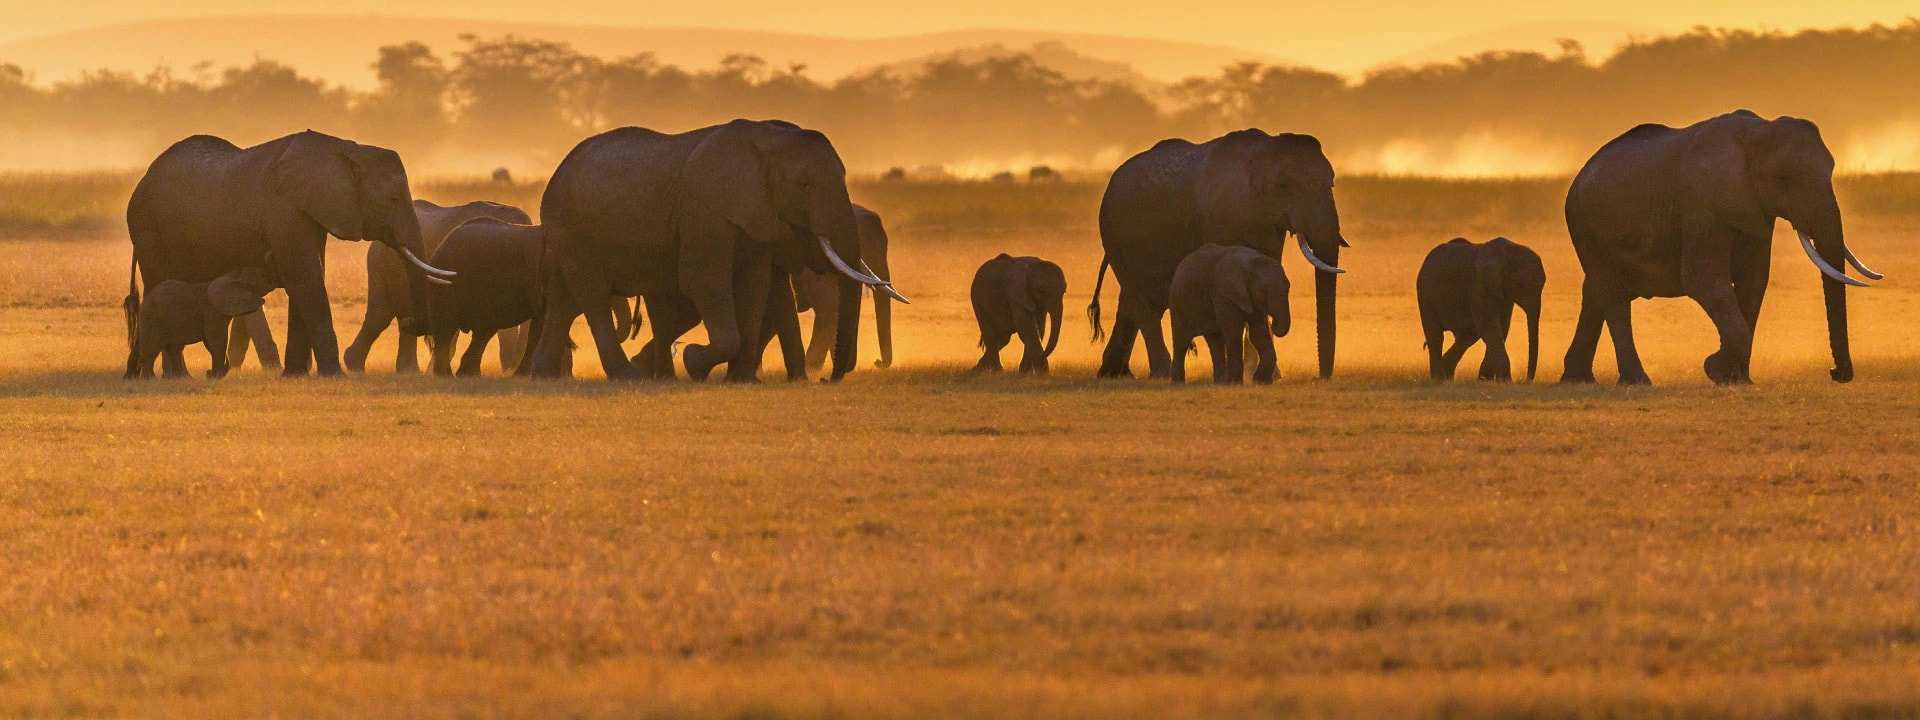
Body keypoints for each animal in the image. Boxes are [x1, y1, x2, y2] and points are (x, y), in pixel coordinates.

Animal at [123, 268, 277, 379]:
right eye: (257, 280)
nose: (272, 276)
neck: (230, 276)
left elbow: (211, 342)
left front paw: (214, 374)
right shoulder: (211, 311)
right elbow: (216, 341)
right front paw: (215, 376)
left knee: (174, 348)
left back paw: (181, 379)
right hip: (152, 319)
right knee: (152, 348)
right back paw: (150, 379)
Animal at [1169, 244, 1291, 385]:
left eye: (1288, 287)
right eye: (1262, 292)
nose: (1273, 322)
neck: (1249, 264)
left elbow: (1258, 334)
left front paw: (1260, 381)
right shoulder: (1224, 294)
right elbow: (1234, 333)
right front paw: (1235, 383)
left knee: (1215, 341)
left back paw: (1220, 383)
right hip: (1177, 303)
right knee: (1181, 341)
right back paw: (1178, 383)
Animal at [1417, 237, 1543, 382]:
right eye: (1521, 285)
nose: (1524, 380)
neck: (1510, 252)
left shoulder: (1504, 295)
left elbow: (1501, 327)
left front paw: (1485, 379)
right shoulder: (1479, 287)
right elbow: (1490, 327)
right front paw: (1505, 381)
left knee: (1467, 336)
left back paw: (1446, 375)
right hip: (1424, 294)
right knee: (1436, 336)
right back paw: (1438, 378)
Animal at [1561, 110, 1884, 385]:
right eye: (1784, 179)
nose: (1836, 373)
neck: (1757, 132)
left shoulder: (1755, 212)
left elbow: (1753, 282)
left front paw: (1736, 379)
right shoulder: (1702, 207)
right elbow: (1703, 280)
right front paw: (1714, 368)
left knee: (1595, 293)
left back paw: (1577, 379)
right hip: (1586, 226)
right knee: (1613, 295)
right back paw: (1636, 381)